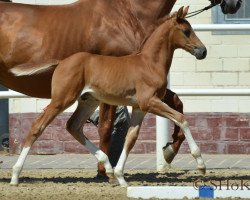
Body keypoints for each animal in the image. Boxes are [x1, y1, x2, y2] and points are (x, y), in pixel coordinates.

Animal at [9, 7, 206, 187]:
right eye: (186, 31)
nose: (203, 51)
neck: (149, 63)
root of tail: (62, 62)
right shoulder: (149, 102)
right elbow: (181, 118)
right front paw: (200, 164)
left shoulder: (139, 107)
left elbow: (131, 138)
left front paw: (121, 177)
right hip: (62, 99)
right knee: (37, 126)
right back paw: (15, 176)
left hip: (88, 101)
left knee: (73, 126)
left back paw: (109, 168)